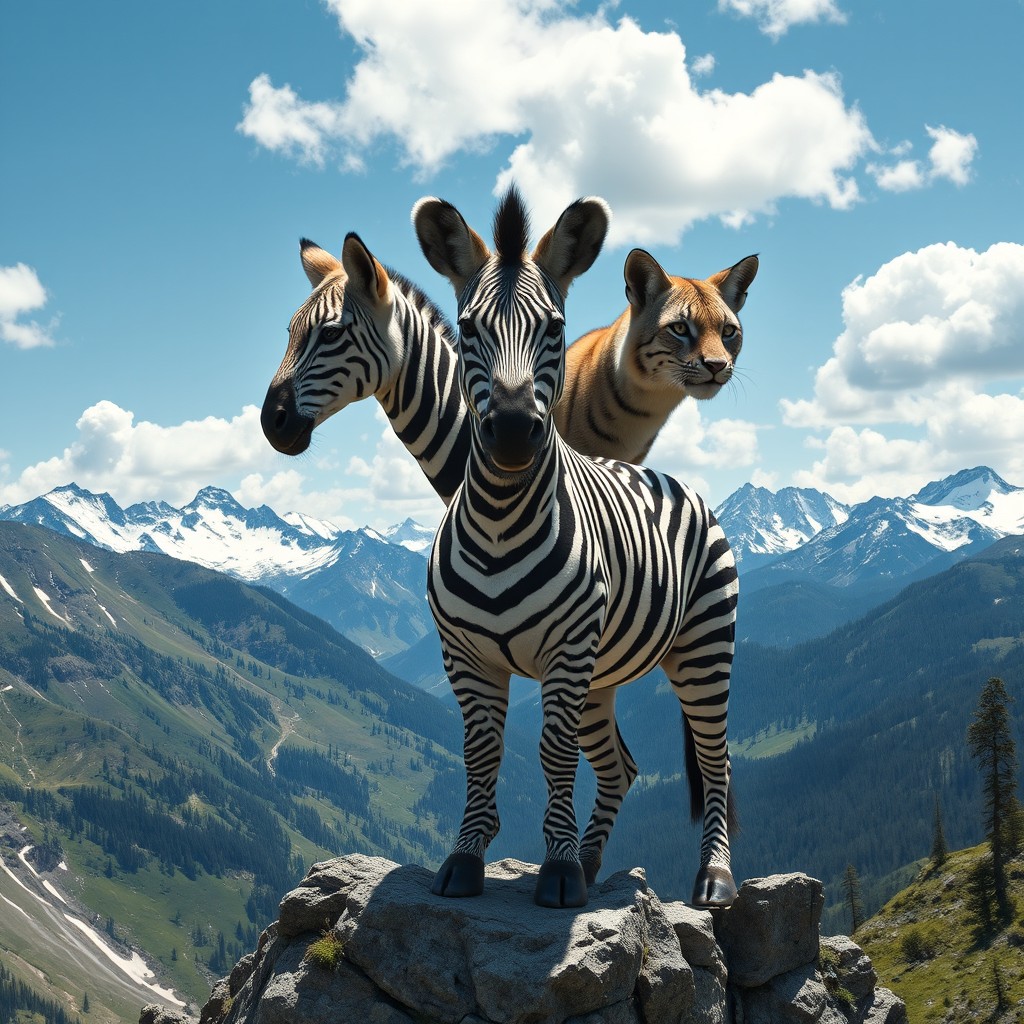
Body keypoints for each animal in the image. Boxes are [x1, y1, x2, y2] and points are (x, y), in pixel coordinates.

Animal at [414, 186, 739, 909]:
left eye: (556, 329)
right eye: (468, 330)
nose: (512, 434)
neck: (501, 518)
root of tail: (672, 479)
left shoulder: (565, 654)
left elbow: (554, 754)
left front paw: (557, 872)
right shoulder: (464, 657)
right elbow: (483, 753)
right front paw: (468, 859)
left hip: (703, 649)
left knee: (716, 759)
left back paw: (714, 878)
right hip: (603, 674)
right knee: (622, 767)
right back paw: (592, 865)